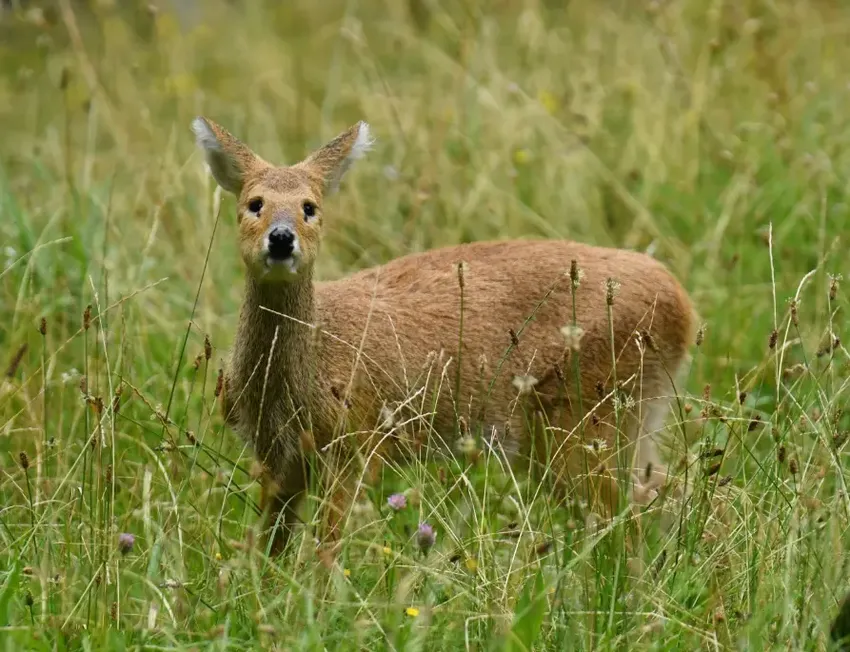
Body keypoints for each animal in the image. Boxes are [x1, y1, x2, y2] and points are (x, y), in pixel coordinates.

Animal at [190, 116, 696, 556]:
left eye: (310, 208)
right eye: (254, 203)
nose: (281, 238)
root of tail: (684, 307)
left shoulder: (356, 443)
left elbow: (327, 549)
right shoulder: (278, 457)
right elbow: (270, 544)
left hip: (585, 415)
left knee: (627, 514)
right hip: (623, 418)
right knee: (660, 493)